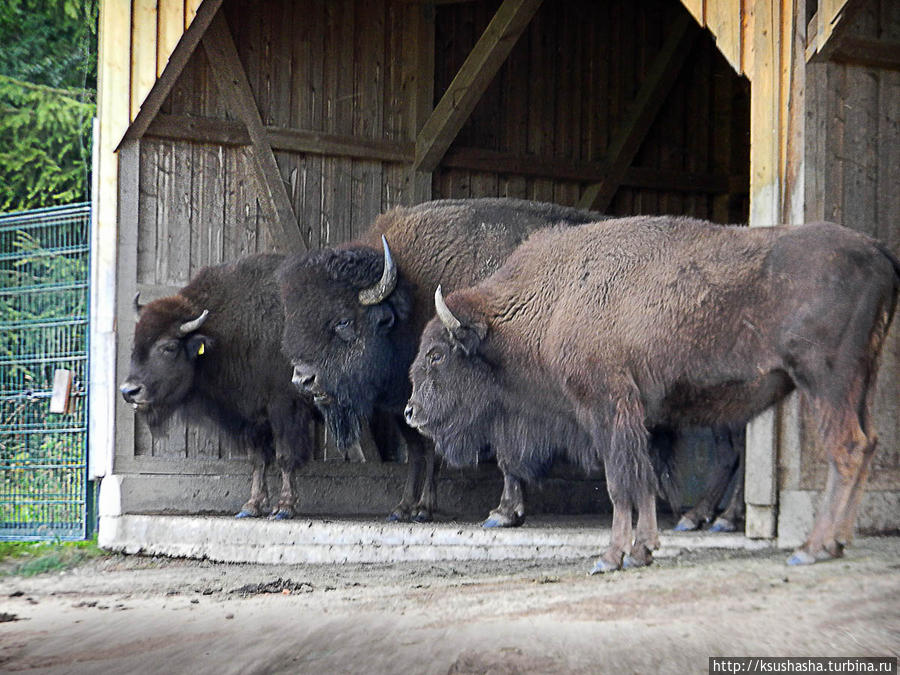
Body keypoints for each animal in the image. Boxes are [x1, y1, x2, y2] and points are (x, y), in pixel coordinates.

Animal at [119, 256, 316, 520]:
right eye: (135, 344)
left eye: (169, 347)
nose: (129, 391)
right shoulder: (250, 416)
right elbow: (258, 459)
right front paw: (250, 506)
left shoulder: (284, 407)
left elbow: (285, 455)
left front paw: (284, 507)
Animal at [278, 198, 600, 520]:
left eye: (344, 321)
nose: (302, 379)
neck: (411, 297)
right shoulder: (405, 407)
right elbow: (418, 452)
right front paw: (404, 508)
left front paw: (428, 508)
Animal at [410, 215, 900, 572]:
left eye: (437, 354)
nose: (412, 410)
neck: (556, 298)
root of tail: (876, 251)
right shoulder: (636, 417)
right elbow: (643, 477)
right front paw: (642, 550)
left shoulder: (606, 408)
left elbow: (620, 481)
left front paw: (610, 558)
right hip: (862, 379)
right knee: (867, 443)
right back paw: (834, 542)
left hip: (825, 381)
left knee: (846, 448)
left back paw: (812, 548)